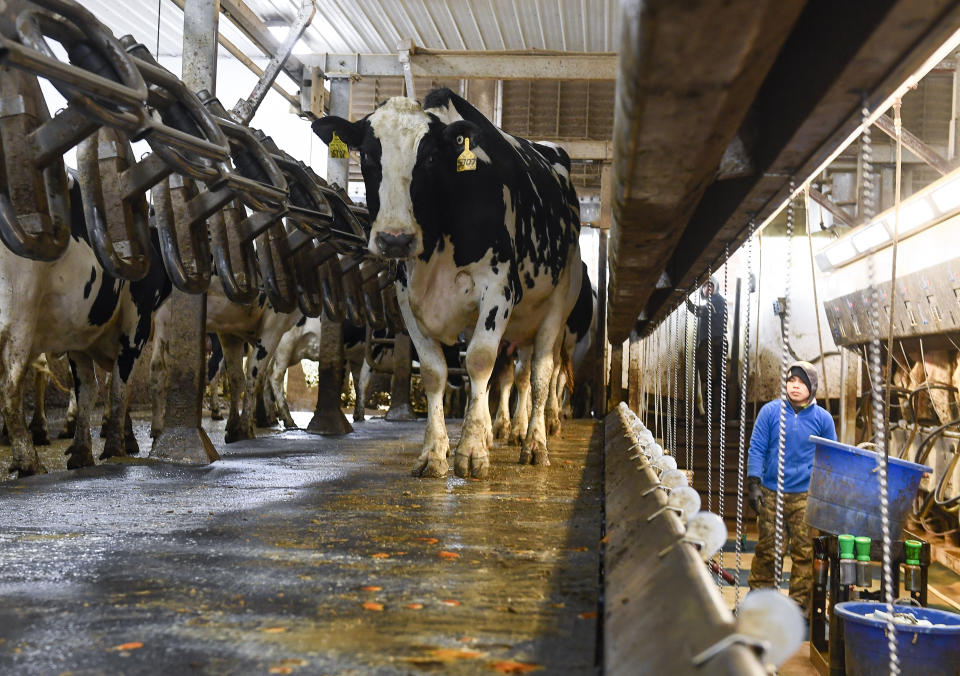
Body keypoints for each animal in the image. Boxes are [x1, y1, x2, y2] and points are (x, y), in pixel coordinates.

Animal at [0, 180, 172, 476]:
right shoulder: (135, 322)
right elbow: (119, 387)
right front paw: (116, 447)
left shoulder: (78, 332)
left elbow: (87, 389)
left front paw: (82, 451)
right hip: (20, 314)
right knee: (11, 387)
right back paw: (29, 461)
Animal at [316, 88, 584, 480]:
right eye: (366, 154)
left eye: (429, 157)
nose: (395, 239)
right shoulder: (407, 296)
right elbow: (434, 372)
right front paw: (435, 452)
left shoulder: (499, 288)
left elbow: (479, 361)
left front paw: (471, 450)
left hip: (558, 305)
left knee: (539, 374)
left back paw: (534, 443)